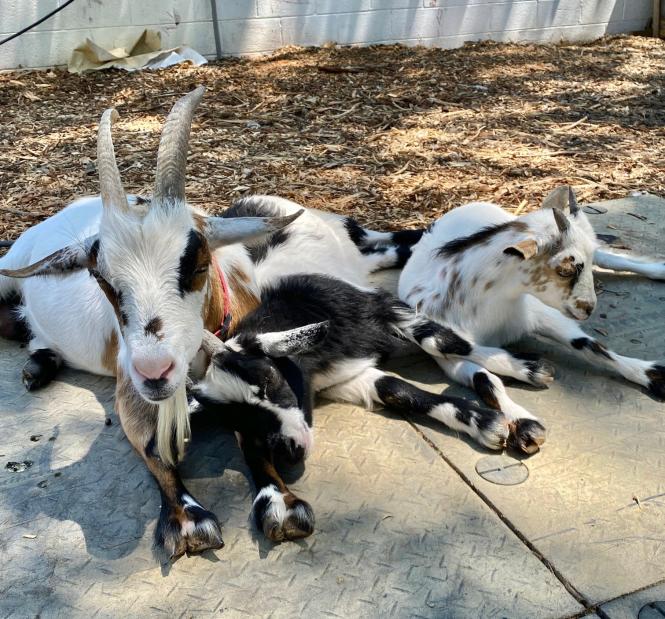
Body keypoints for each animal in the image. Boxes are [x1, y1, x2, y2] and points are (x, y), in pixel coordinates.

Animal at [189, 274, 520, 544]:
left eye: (269, 378)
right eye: (237, 419)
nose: (290, 451)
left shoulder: (372, 317)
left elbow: (437, 349)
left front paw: (485, 420)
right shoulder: (342, 381)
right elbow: (394, 389)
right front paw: (277, 503)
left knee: (449, 344)